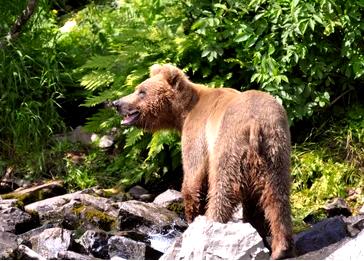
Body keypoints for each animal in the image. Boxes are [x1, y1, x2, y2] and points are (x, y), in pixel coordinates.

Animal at [113, 63, 296, 258]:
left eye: (141, 91)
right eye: (137, 89)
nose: (117, 104)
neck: (183, 111)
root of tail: (255, 124)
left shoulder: (197, 131)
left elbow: (193, 176)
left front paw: (192, 218)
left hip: (230, 145)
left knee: (222, 189)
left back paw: (211, 225)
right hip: (275, 150)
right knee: (277, 197)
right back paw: (280, 248)